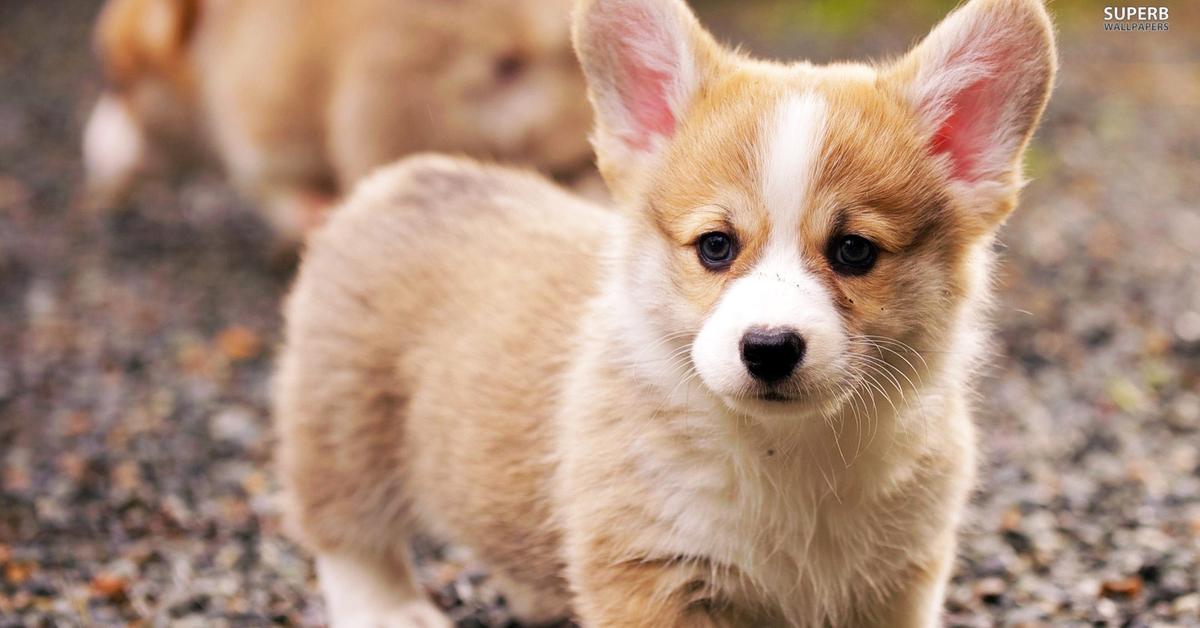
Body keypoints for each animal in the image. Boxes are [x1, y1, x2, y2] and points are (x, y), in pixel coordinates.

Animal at [272, 0, 1051, 624]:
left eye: (854, 251)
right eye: (715, 246)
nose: (769, 347)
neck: (789, 456)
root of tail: (411, 175)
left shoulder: (898, 579)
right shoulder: (650, 572)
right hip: (343, 428)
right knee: (346, 537)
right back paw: (391, 609)